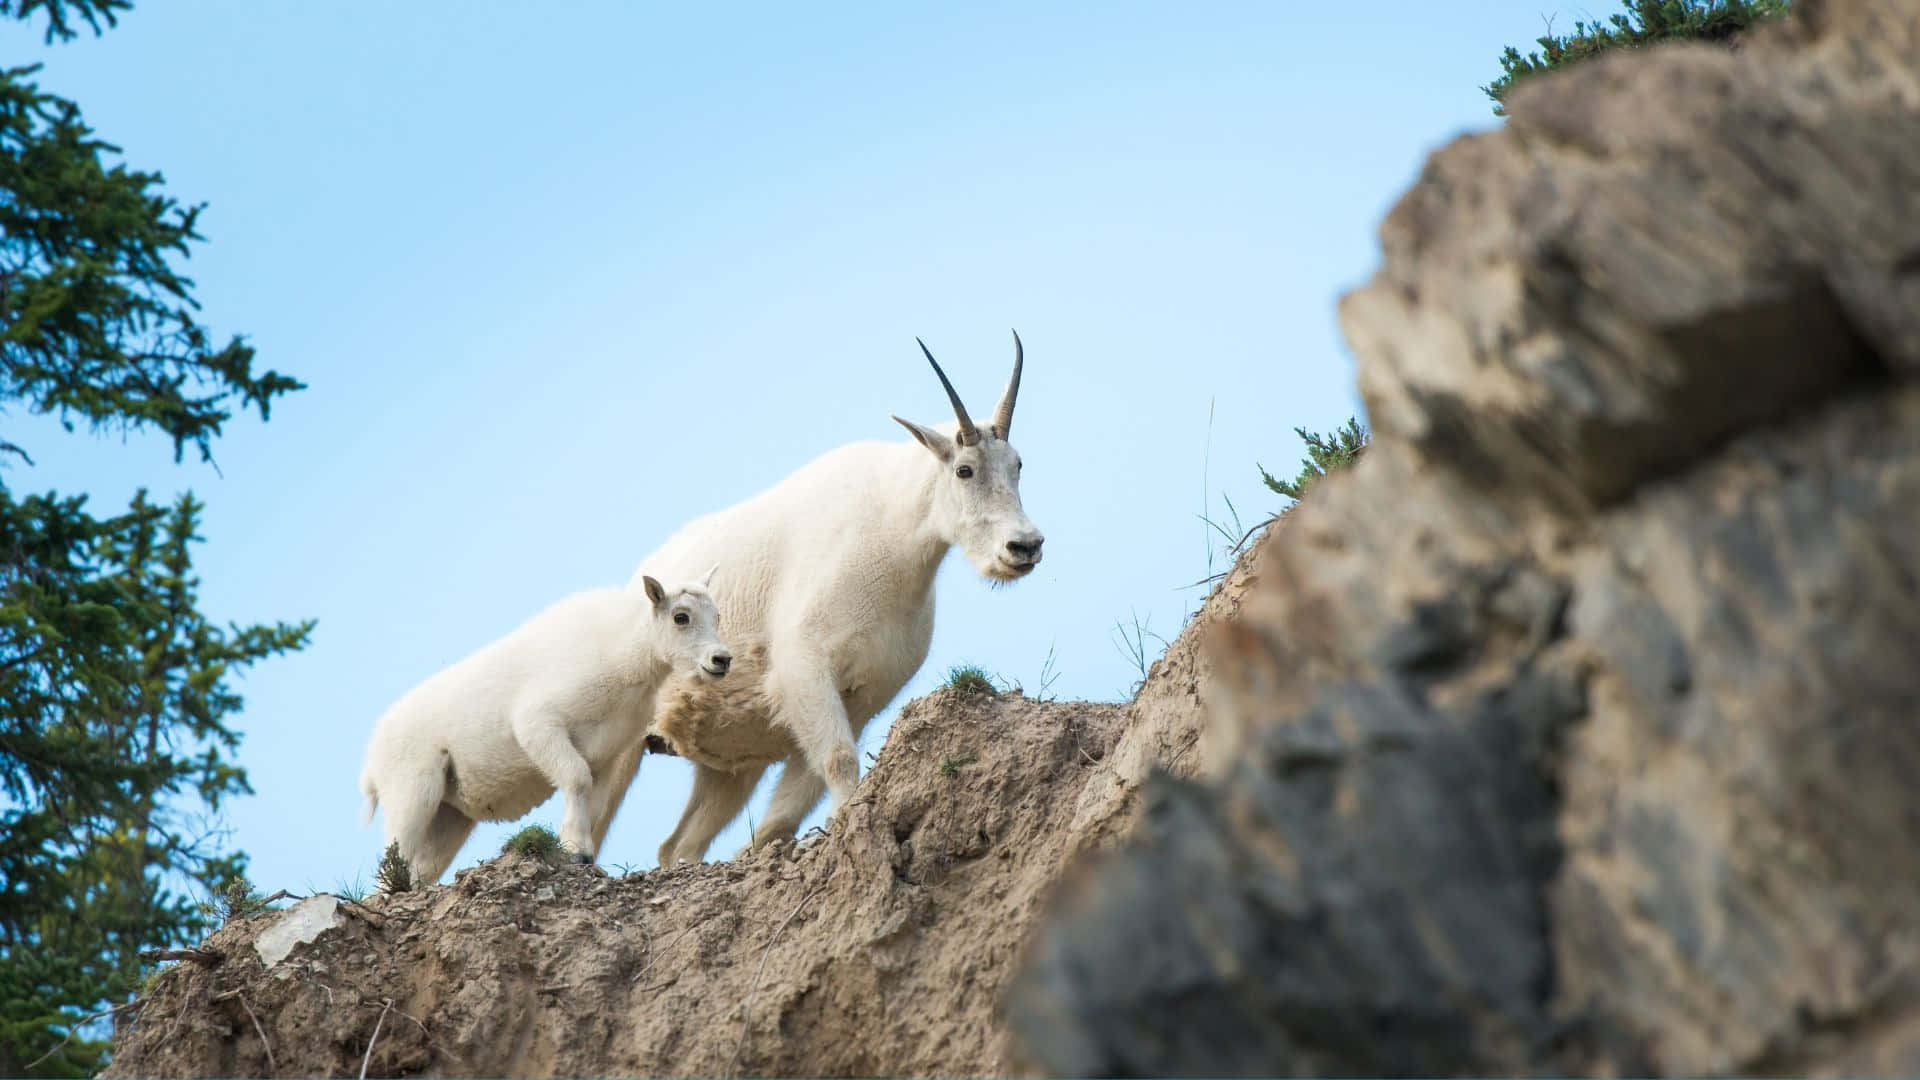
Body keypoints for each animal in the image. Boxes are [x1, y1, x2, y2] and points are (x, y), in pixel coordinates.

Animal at [358, 571, 733, 884]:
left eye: (716, 616)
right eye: (681, 617)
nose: (721, 660)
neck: (625, 654)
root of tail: (371, 762)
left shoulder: (607, 756)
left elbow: (594, 802)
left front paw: (582, 849)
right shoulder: (538, 724)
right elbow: (576, 779)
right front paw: (576, 849)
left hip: (449, 815)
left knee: (420, 869)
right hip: (411, 791)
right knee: (394, 857)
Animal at [629, 332, 1043, 867]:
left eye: (1018, 465)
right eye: (965, 470)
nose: (1024, 546)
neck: (894, 540)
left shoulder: (864, 696)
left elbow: (785, 813)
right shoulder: (803, 667)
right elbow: (839, 761)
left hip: (727, 769)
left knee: (678, 845)